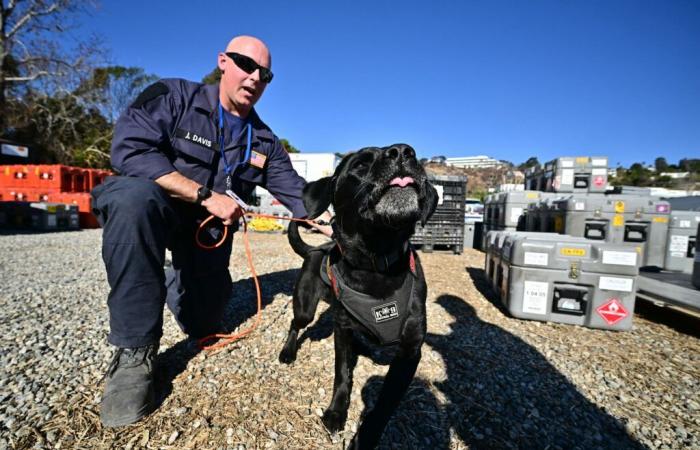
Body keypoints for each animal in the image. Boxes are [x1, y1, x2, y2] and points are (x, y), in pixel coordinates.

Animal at [278, 143, 438, 446]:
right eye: (360, 165)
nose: (403, 151)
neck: (375, 263)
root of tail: (315, 249)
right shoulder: (342, 328)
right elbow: (342, 373)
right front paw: (335, 412)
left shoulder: (410, 350)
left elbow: (386, 402)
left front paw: (366, 436)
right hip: (305, 305)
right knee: (296, 323)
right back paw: (288, 351)